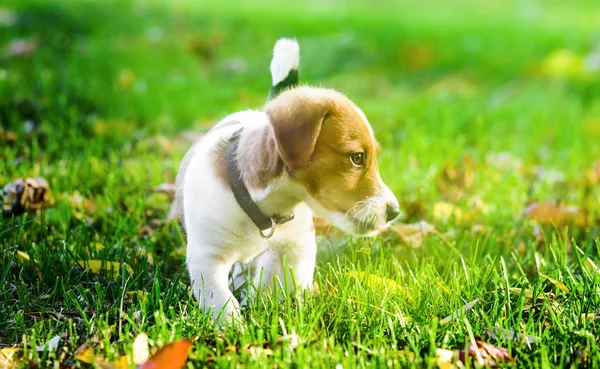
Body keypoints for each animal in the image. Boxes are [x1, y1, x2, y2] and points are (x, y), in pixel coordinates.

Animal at [173, 38, 398, 324]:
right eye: (357, 157)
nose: (395, 212)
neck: (261, 210)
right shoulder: (207, 258)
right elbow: (222, 302)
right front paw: (234, 328)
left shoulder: (296, 246)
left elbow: (283, 285)